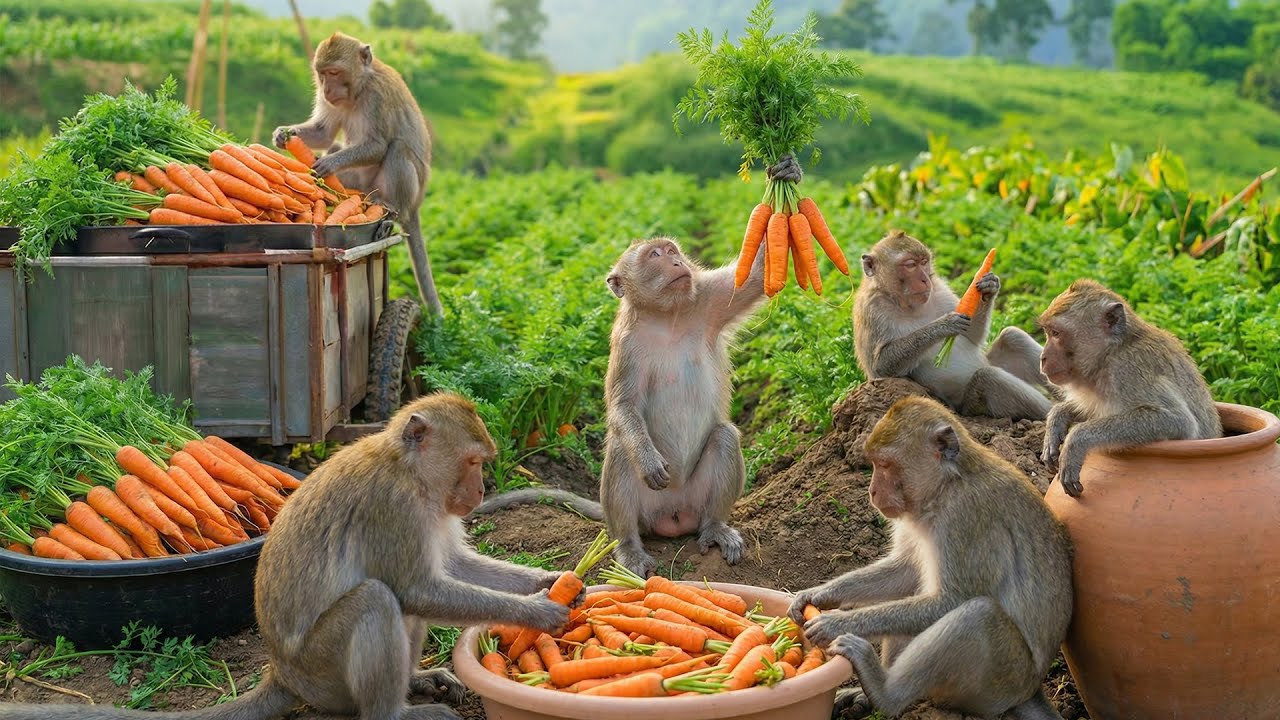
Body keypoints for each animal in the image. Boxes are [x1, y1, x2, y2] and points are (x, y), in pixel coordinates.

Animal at [0, 393, 577, 720]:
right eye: (475, 462)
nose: (480, 492)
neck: (408, 471)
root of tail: (281, 674)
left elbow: (451, 570)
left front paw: (554, 580)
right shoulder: (391, 508)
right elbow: (419, 588)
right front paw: (540, 612)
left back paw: (414, 682)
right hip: (320, 672)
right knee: (379, 599)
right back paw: (393, 711)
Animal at [273, 32, 441, 317]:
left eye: (334, 72)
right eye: (322, 75)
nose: (327, 90)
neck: (360, 88)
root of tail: (416, 206)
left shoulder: (377, 97)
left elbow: (377, 145)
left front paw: (329, 163)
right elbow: (323, 133)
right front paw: (283, 135)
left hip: (404, 192)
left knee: (397, 149)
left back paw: (390, 210)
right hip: (359, 184)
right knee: (336, 146)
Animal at [785, 396, 1073, 720]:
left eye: (885, 465)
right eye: (874, 464)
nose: (872, 492)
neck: (946, 486)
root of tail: (1031, 689)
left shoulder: (966, 517)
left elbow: (949, 600)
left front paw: (837, 622)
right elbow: (905, 571)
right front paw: (818, 595)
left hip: (1003, 681)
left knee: (978, 615)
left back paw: (885, 693)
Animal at [853, 230, 1053, 421]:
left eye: (924, 262)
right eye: (910, 265)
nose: (925, 279)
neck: (906, 304)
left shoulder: (939, 288)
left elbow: (972, 335)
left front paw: (989, 288)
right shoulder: (871, 310)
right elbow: (880, 367)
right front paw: (944, 325)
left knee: (1013, 337)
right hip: (971, 406)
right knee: (987, 377)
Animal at [1038, 279, 1221, 498]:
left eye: (1056, 333)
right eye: (1048, 332)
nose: (1043, 357)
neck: (1112, 352)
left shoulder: (1127, 370)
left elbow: (1179, 421)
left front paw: (1076, 440)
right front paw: (1058, 419)